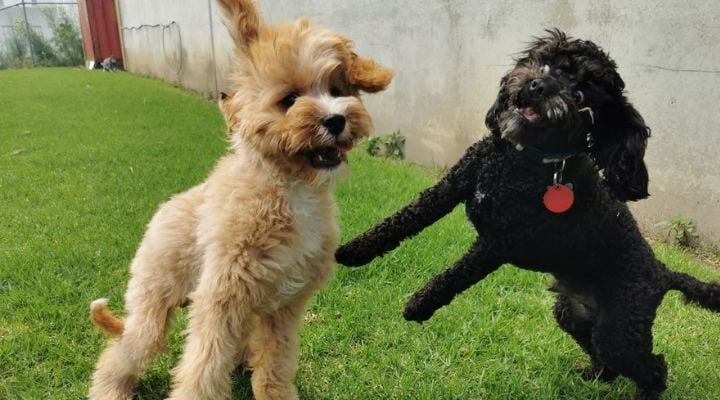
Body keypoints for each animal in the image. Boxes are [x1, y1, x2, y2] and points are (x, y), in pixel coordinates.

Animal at [338, 31, 720, 400]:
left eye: (579, 93)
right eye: (546, 65)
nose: (539, 85)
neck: (523, 160)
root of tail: (663, 272)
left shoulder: (499, 242)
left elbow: (455, 274)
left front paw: (419, 305)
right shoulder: (452, 186)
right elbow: (404, 218)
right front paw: (353, 251)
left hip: (620, 328)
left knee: (652, 366)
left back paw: (644, 392)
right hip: (575, 315)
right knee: (605, 355)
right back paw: (593, 376)